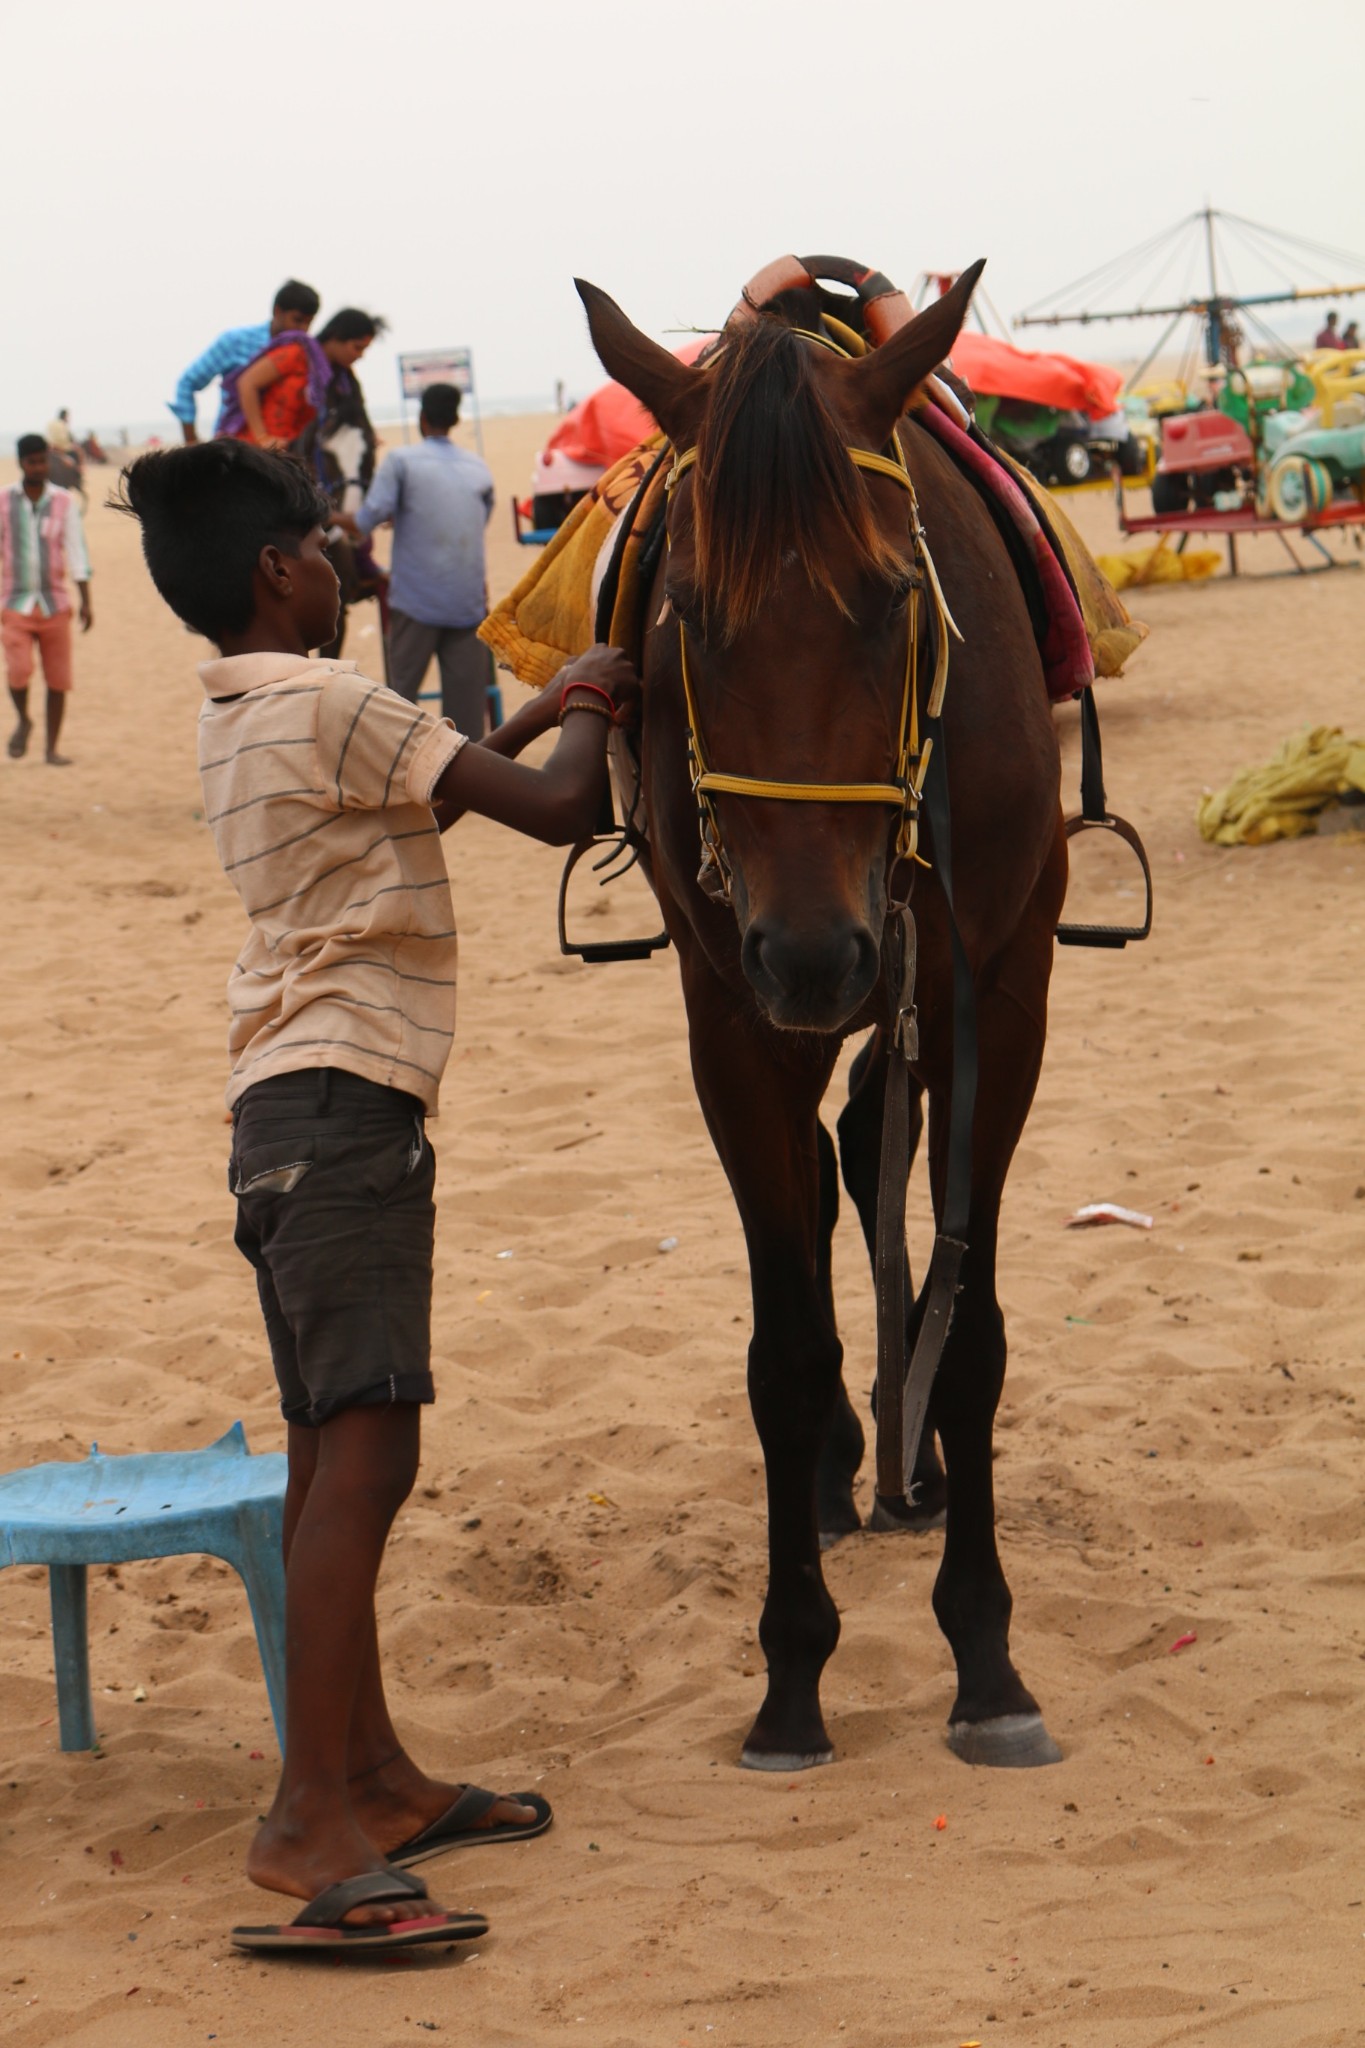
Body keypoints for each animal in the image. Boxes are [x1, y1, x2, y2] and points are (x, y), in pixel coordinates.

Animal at [577, 264, 1064, 1777]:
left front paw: (988, 1657)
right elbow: (781, 1355)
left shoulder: (996, 996)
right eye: (686, 614)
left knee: (867, 1160)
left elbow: (976, 1332)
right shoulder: (732, 1021)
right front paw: (792, 1673)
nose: (809, 952)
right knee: (832, 1162)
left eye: (892, 600)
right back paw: (859, 1465)